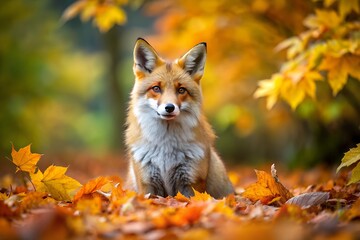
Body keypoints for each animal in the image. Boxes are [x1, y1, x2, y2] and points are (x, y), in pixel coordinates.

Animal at [125, 38, 235, 199]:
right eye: (156, 88)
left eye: (181, 90)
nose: (169, 107)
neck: (165, 150)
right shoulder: (147, 184)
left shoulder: (191, 183)